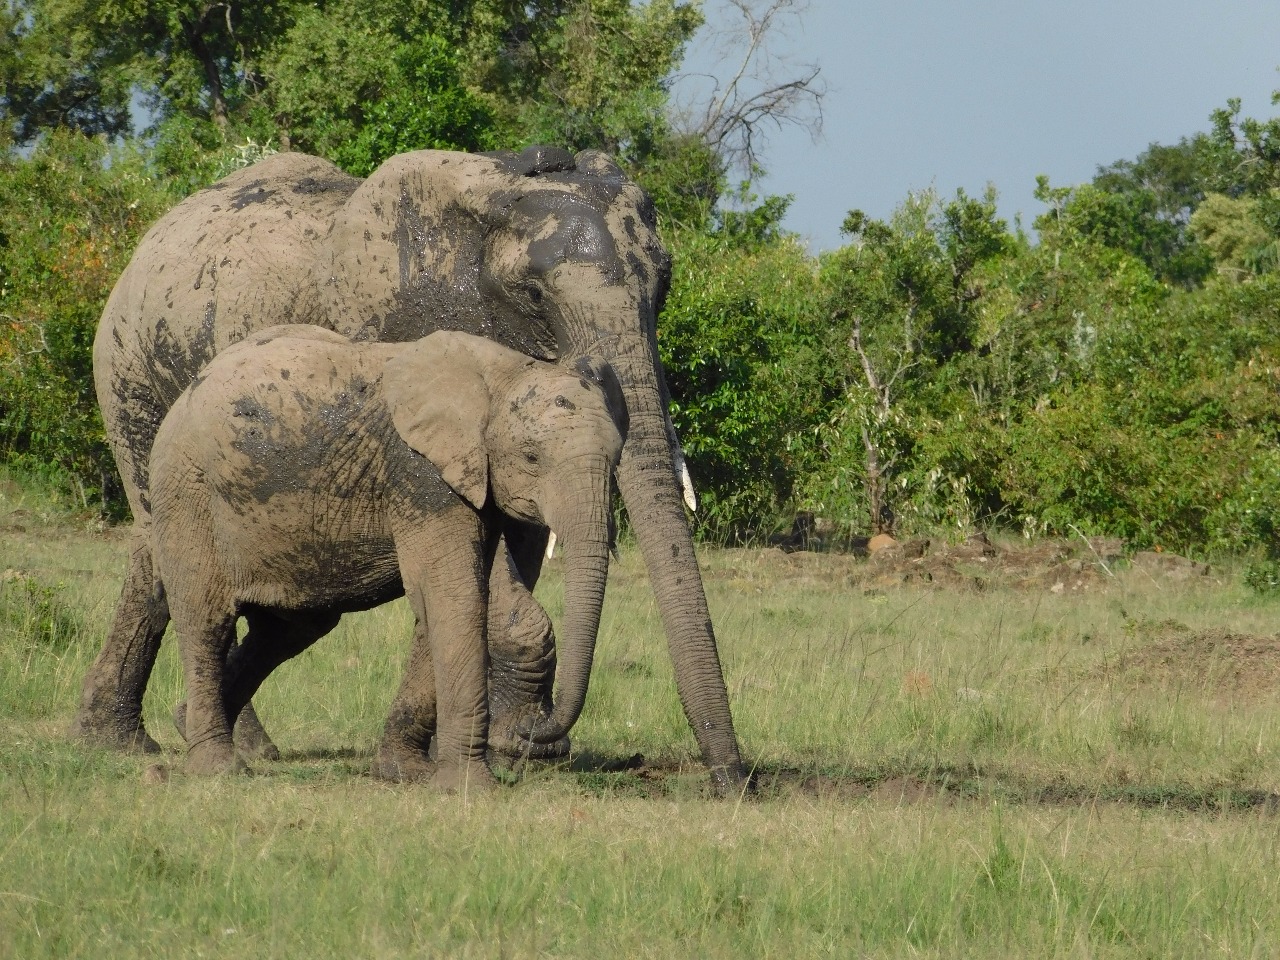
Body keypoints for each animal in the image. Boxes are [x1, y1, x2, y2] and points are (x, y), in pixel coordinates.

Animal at [150, 325, 626, 786]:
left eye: (617, 457)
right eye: (530, 458)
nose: (532, 731)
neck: (503, 371)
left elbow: (446, 601)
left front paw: (406, 774)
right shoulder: (420, 475)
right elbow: (454, 598)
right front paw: (470, 788)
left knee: (288, 631)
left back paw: (184, 723)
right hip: (187, 493)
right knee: (206, 621)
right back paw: (217, 768)